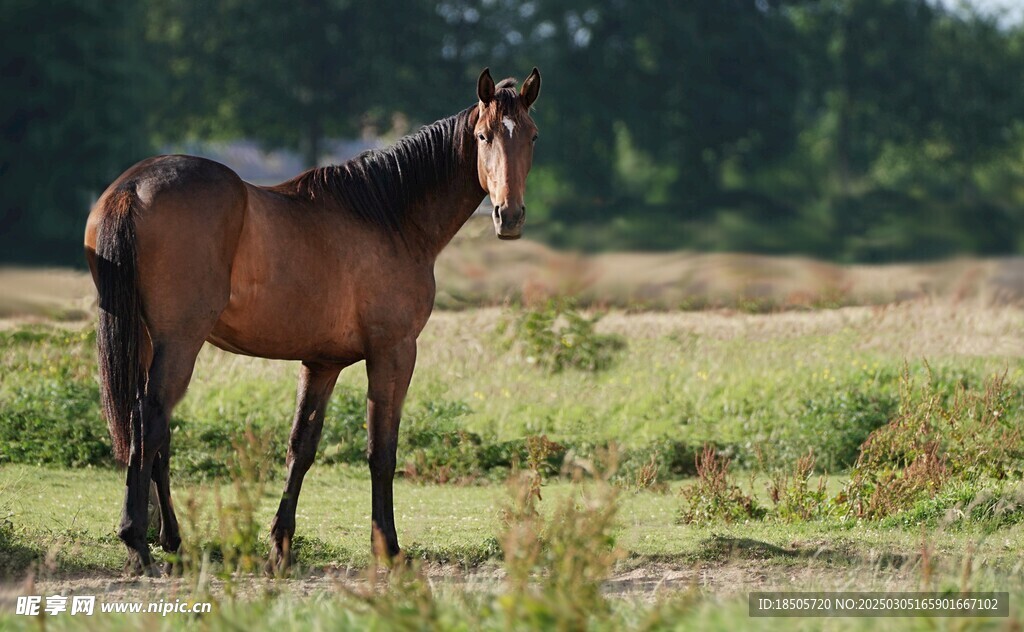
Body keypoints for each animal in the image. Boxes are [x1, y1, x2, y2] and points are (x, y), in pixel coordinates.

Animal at [83, 67, 540, 573]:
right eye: (483, 136)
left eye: (532, 136)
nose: (509, 215)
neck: (387, 216)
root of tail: (132, 188)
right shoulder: (394, 353)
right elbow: (381, 451)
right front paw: (388, 547)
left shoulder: (322, 363)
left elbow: (301, 448)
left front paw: (279, 547)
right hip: (179, 342)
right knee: (150, 420)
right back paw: (138, 542)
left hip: (147, 340)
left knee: (148, 424)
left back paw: (172, 539)